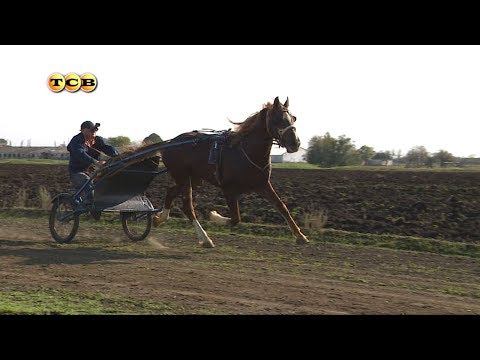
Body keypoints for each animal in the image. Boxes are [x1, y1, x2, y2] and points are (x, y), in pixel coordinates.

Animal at [156, 96, 310, 248]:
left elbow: (282, 207)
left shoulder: (262, 184)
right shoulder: (228, 189)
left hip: (193, 178)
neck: (246, 152)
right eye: (278, 119)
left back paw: (160, 218)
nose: (295, 143)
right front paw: (214, 215)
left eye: (293, 118)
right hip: (182, 176)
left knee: (170, 192)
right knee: (188, 207)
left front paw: (300, 236)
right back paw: (205, 239)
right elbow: (236, 219)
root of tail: (170, 143)